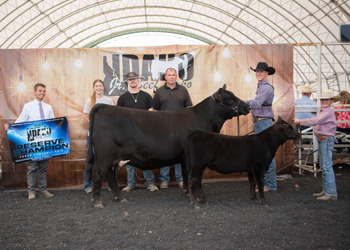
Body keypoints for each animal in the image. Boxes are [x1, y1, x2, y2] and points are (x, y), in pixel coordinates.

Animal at [86, 84, 250, 207]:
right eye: (230, 98)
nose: (248, 107)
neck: (204, 118)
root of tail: (103, 107)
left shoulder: (184, 157)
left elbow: (185, 173)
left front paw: (187, 192)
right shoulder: (194, 157)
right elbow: (195, 177)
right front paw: (197, 197)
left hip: (112, 157)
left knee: (109, 175)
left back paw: (119, 198)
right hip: (105, 154)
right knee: (98, 172)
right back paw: (97, 201)